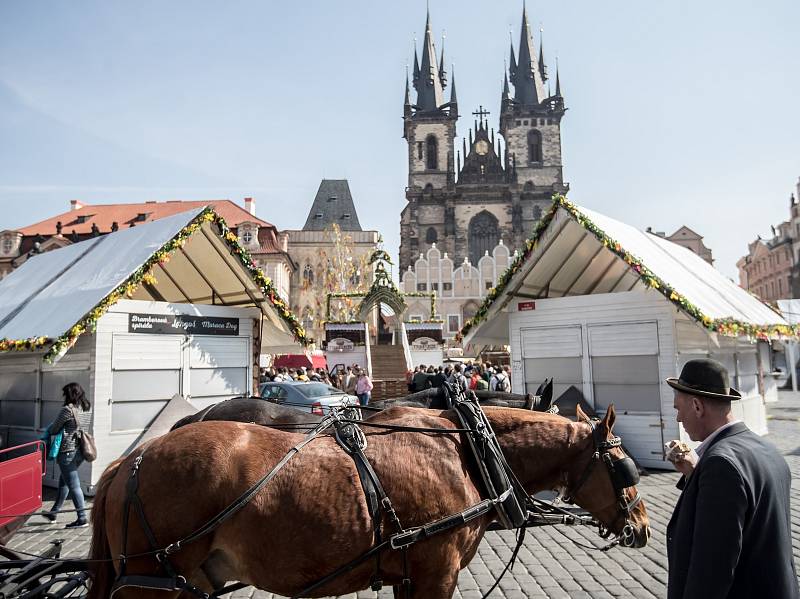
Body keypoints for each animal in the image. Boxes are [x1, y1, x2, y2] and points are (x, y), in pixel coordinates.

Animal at [89, 404, 648, 599]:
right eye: (624, 468)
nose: (642, 526)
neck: (465, 451)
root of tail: (128, 462)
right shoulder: (437, 573)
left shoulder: (409, 575)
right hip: (151, 583)